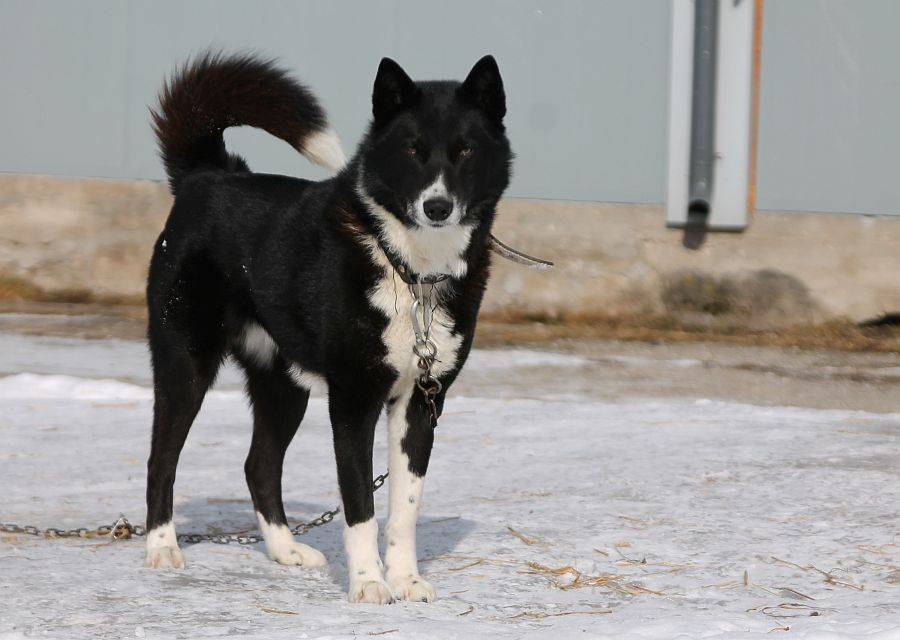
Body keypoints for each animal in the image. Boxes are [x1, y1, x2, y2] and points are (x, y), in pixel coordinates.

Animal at [144, 52, 510, 604]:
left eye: (465, 150)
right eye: (412, 150)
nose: (437, 207)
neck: (409, 269)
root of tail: (208, 177)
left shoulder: (422, 402)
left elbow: (403, 511)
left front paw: (406, 581)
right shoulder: (354, 402)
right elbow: (361, 507)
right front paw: (370, 584)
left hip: (283, 383)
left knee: (259, 465)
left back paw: (285, 550)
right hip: (185, 365)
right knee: (161, 458)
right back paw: (162, 548)